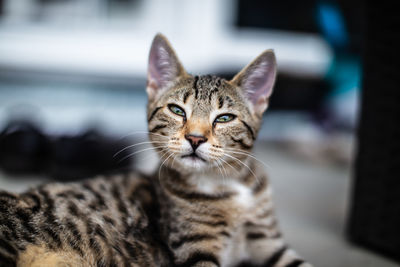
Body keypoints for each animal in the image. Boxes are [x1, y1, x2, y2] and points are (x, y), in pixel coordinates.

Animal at [0, 34, 310, 267]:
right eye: (177, 110)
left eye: (224, 118)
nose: (195, 138)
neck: (226, 184)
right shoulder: (195, 248)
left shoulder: (269, 241)